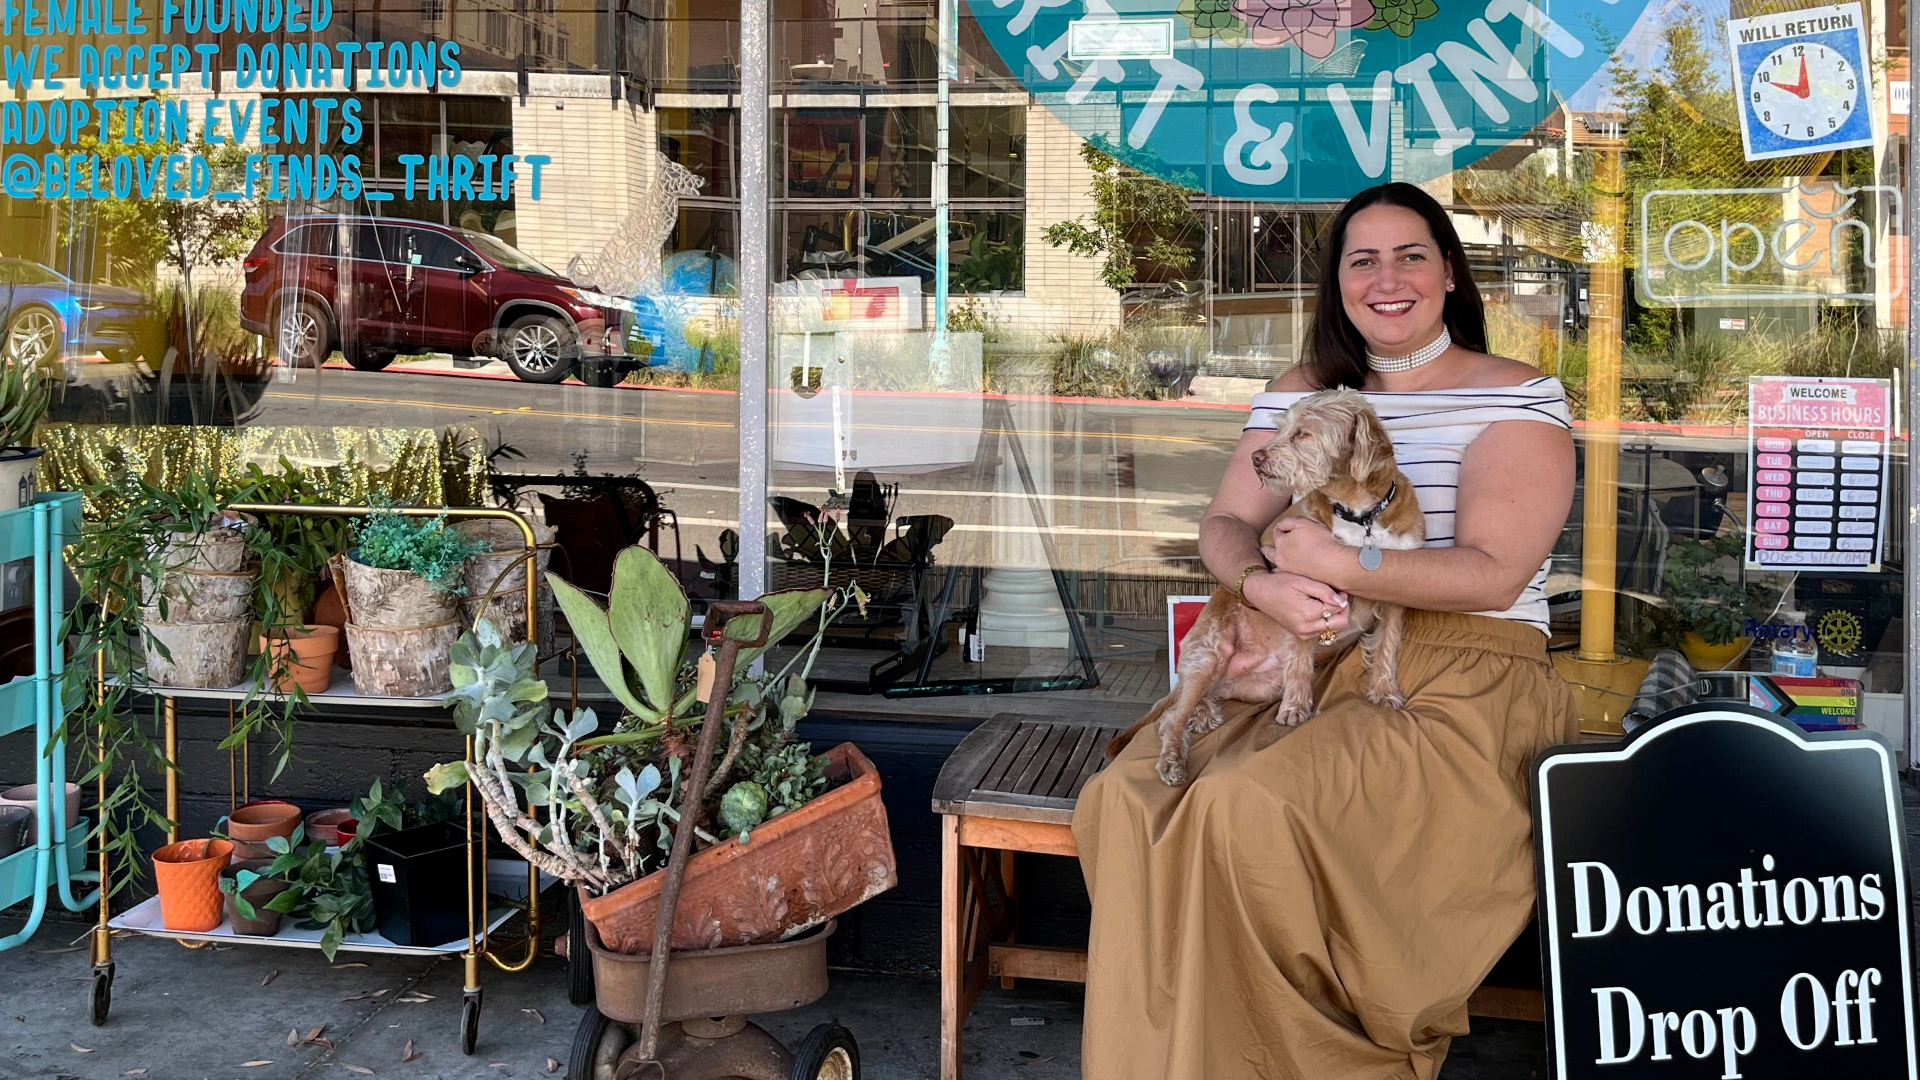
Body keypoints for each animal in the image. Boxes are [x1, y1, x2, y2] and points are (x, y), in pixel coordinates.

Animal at [1113, 388, 1428, 780]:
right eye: (1281, 427)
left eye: (1303, 433)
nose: (1255, 456)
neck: (1359, 514)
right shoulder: (1302, 594)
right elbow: (1300, 657)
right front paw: (1295, 707)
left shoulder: (1395, 596)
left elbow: (1387, 647)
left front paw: (1384, 691)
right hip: (1206, 655)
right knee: (1171, 717)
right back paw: (1173, 756)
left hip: (1254, 686)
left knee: (1193, 703)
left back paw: (1203, 713)